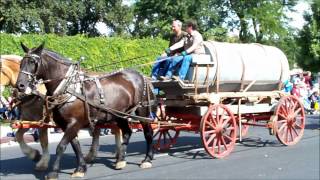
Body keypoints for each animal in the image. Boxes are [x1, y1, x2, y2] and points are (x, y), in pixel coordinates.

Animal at [16, 43, 156, 179]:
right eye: (21, 62)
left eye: (32, 62)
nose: (20, 85)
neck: (68, 88)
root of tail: (141, 75)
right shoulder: (66, 125)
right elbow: (75, 146)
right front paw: (81, 168)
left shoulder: (74, 123)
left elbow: (61, 146)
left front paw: (54, 172)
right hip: (119, 114)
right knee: (127, 132)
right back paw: (121, 160)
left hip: (142, 110)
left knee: (148, 133)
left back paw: (147, 159)